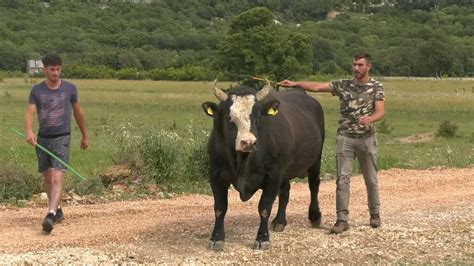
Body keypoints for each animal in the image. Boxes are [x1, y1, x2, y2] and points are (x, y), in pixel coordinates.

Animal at [202, 80, 324, 250]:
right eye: (229, 117)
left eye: (258, 116)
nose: (248, 142)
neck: (242, 160)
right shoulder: (215, 173)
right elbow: (220, 207)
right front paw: (216, 237)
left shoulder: (273, 173)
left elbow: (265, 207)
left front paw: (262, 238)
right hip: (285, 170)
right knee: (285, 191)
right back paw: (280, 221)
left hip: (315, 160)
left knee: (313, 186)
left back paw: (314, 216)